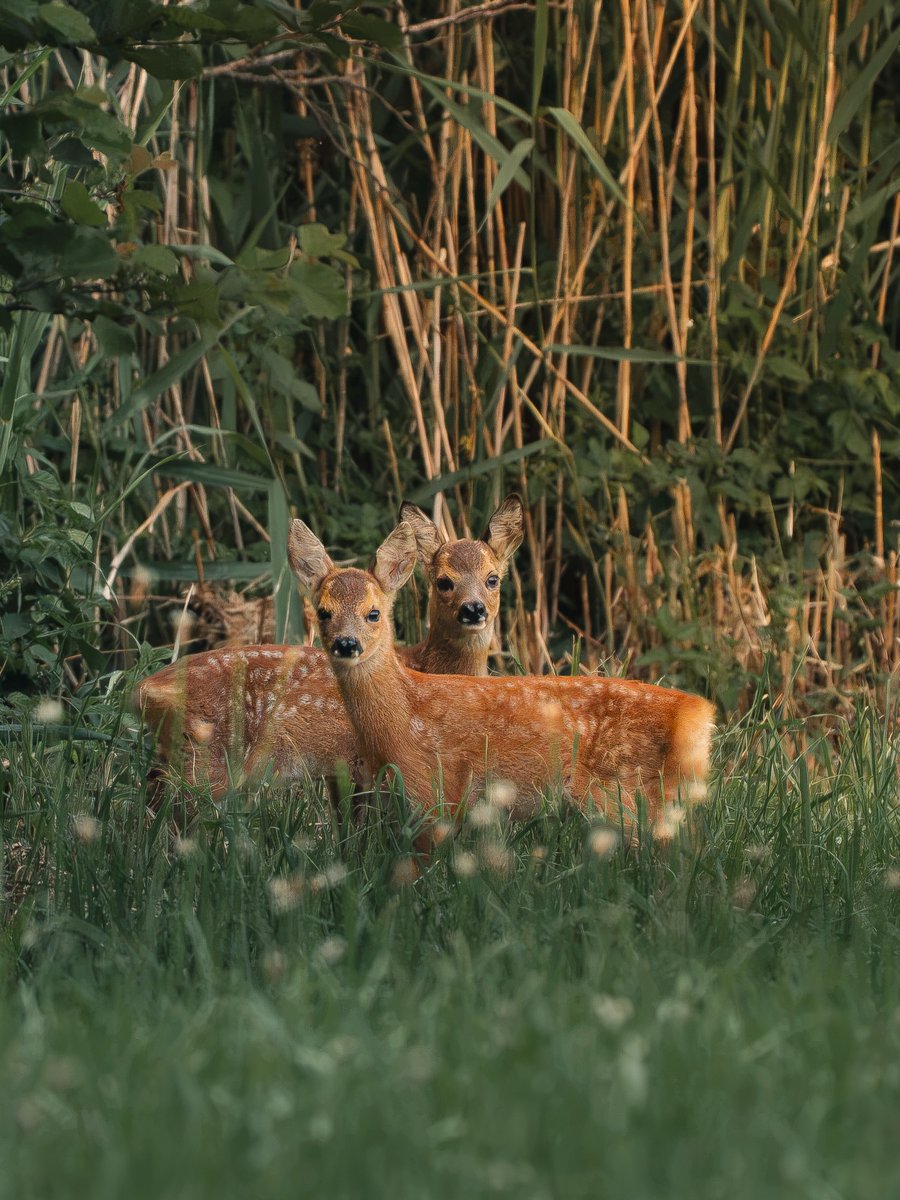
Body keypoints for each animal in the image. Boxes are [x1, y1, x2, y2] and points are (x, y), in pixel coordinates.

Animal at [133, 497, 525, 798]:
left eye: (493, 579)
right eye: (444, 581)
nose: (473, 609)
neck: (421, 667)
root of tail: (144, 689)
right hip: (207, 759)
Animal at [287, 519, 715, 831]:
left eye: (373, 613)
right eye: (323, 612)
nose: (346, 644)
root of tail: (696, 713)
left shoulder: (432, 787)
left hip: (619, 792)